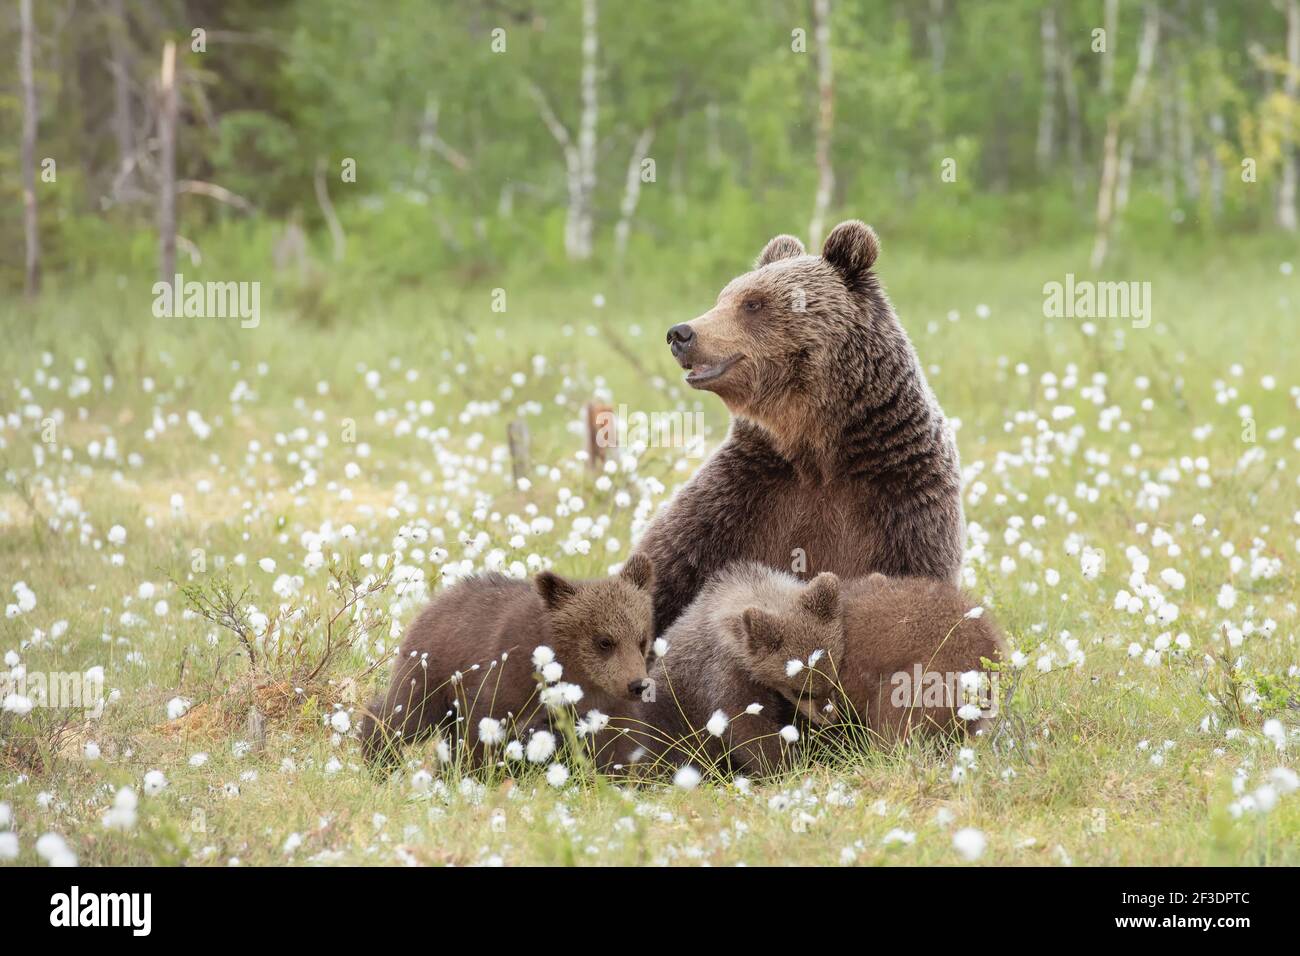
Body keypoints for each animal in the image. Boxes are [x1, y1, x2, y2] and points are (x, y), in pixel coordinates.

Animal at [358, 554, 655, 768]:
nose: (637, 685)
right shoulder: (511, 674)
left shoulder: (606, 704)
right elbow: (486, 725)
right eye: (605, 641)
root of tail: (436, 600)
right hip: (434, 668)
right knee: (407, 713)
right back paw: (381, 758)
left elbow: (621, 743)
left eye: (642, 639)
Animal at [603, 563, 843, 778]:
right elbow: (747, 728)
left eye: (832, 682)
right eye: (801, 691)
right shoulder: (723, 675)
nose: (830, 718)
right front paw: (785, 765)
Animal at [633, 220, 964, 635]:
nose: (681, 333)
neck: (816, 448)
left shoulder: (902, 497)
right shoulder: (740, 497)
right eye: (723, 296)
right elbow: (669, 566)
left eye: (753, 303)